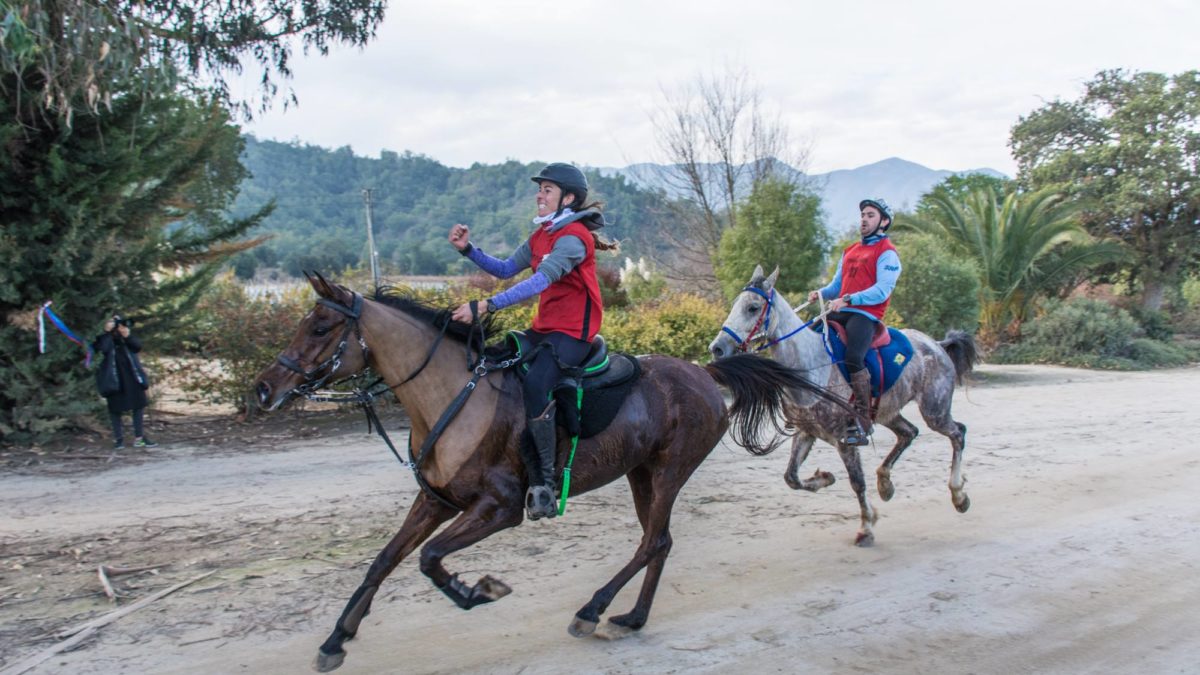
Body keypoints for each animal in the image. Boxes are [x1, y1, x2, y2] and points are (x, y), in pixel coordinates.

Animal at [256, 271, 849, 667]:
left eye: (321, 327)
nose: (264, 388)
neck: (452, 395)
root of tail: (704, 373)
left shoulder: (497, 510)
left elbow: (428, 559)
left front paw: (479, 590)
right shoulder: (435, 501)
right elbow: (383, 562)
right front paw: (337, 638)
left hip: (667, 473)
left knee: (650, 543)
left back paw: (593, 609)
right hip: (641, 474)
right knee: (660, 543)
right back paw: (632, 616)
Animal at [710, 265, 974, 542]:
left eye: (753, 307)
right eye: (735, 304)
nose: (717, 348)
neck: (812, 365)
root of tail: (937, 344)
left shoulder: (845, 439)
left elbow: (857, 482)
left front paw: (866, 527)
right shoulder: (806, 432)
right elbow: (791, 477)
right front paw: (825, 478)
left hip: (935, 410)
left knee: (957, 433)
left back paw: (959, 495)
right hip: (887, 412)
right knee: (909, 432)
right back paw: (886, 484)